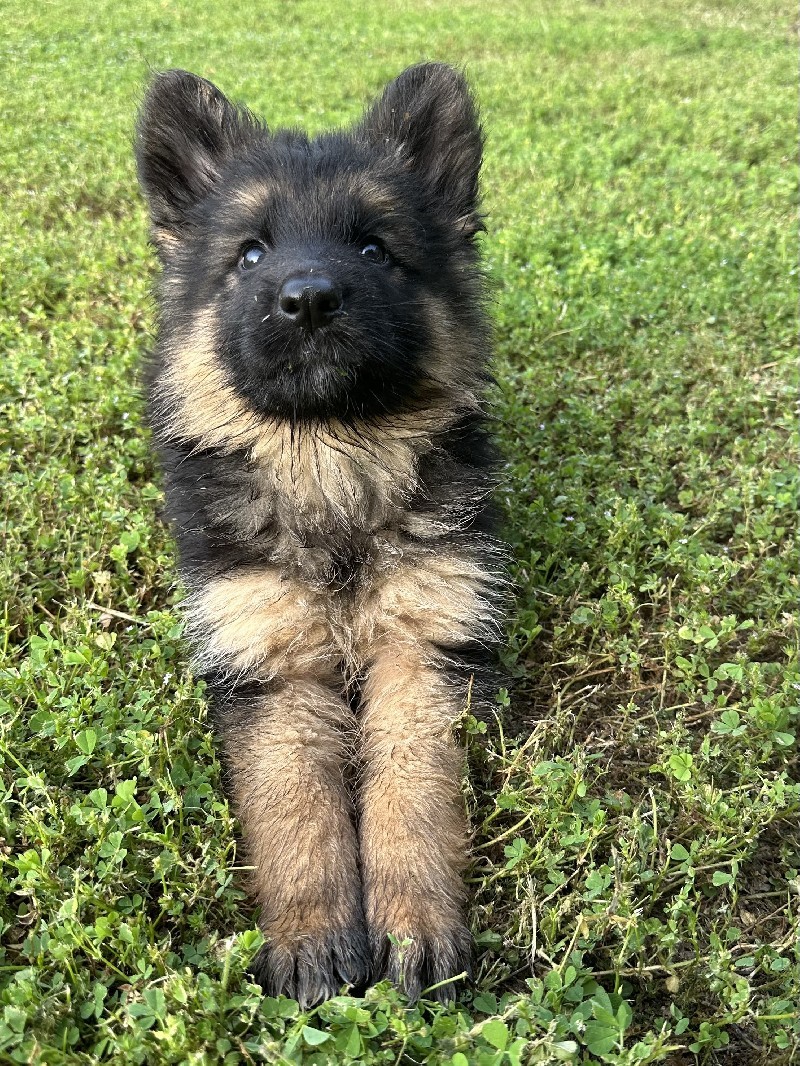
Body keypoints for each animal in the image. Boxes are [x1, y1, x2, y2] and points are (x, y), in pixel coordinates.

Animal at [135, 64, 503, 1006]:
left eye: (373, 248)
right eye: (250, 254)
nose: (309, 300)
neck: (330, 461)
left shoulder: (423, 650)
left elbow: (413, 795)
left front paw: (415, 923)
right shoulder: (272, 663)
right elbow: (294, 808)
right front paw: (312, 936)